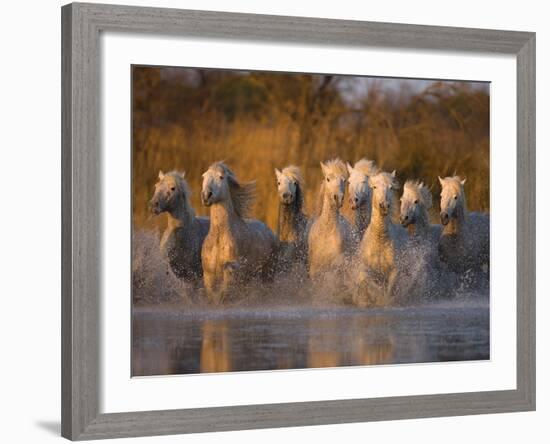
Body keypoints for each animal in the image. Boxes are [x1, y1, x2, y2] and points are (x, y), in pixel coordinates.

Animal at [202, 161, 278, 304]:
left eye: (221, 177)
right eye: (203, 176)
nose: (206, 196)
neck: (219, 236)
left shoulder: (232, 272)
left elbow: (223, 296)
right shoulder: (208, 275)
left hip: (267, 273)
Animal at [356, 170, 408, 306]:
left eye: (391, 187)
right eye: (374, 187)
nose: (384, 205)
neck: (379, 240)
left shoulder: (394, 271)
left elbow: (389, 290)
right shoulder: (366, 270)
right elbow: (371, 284)